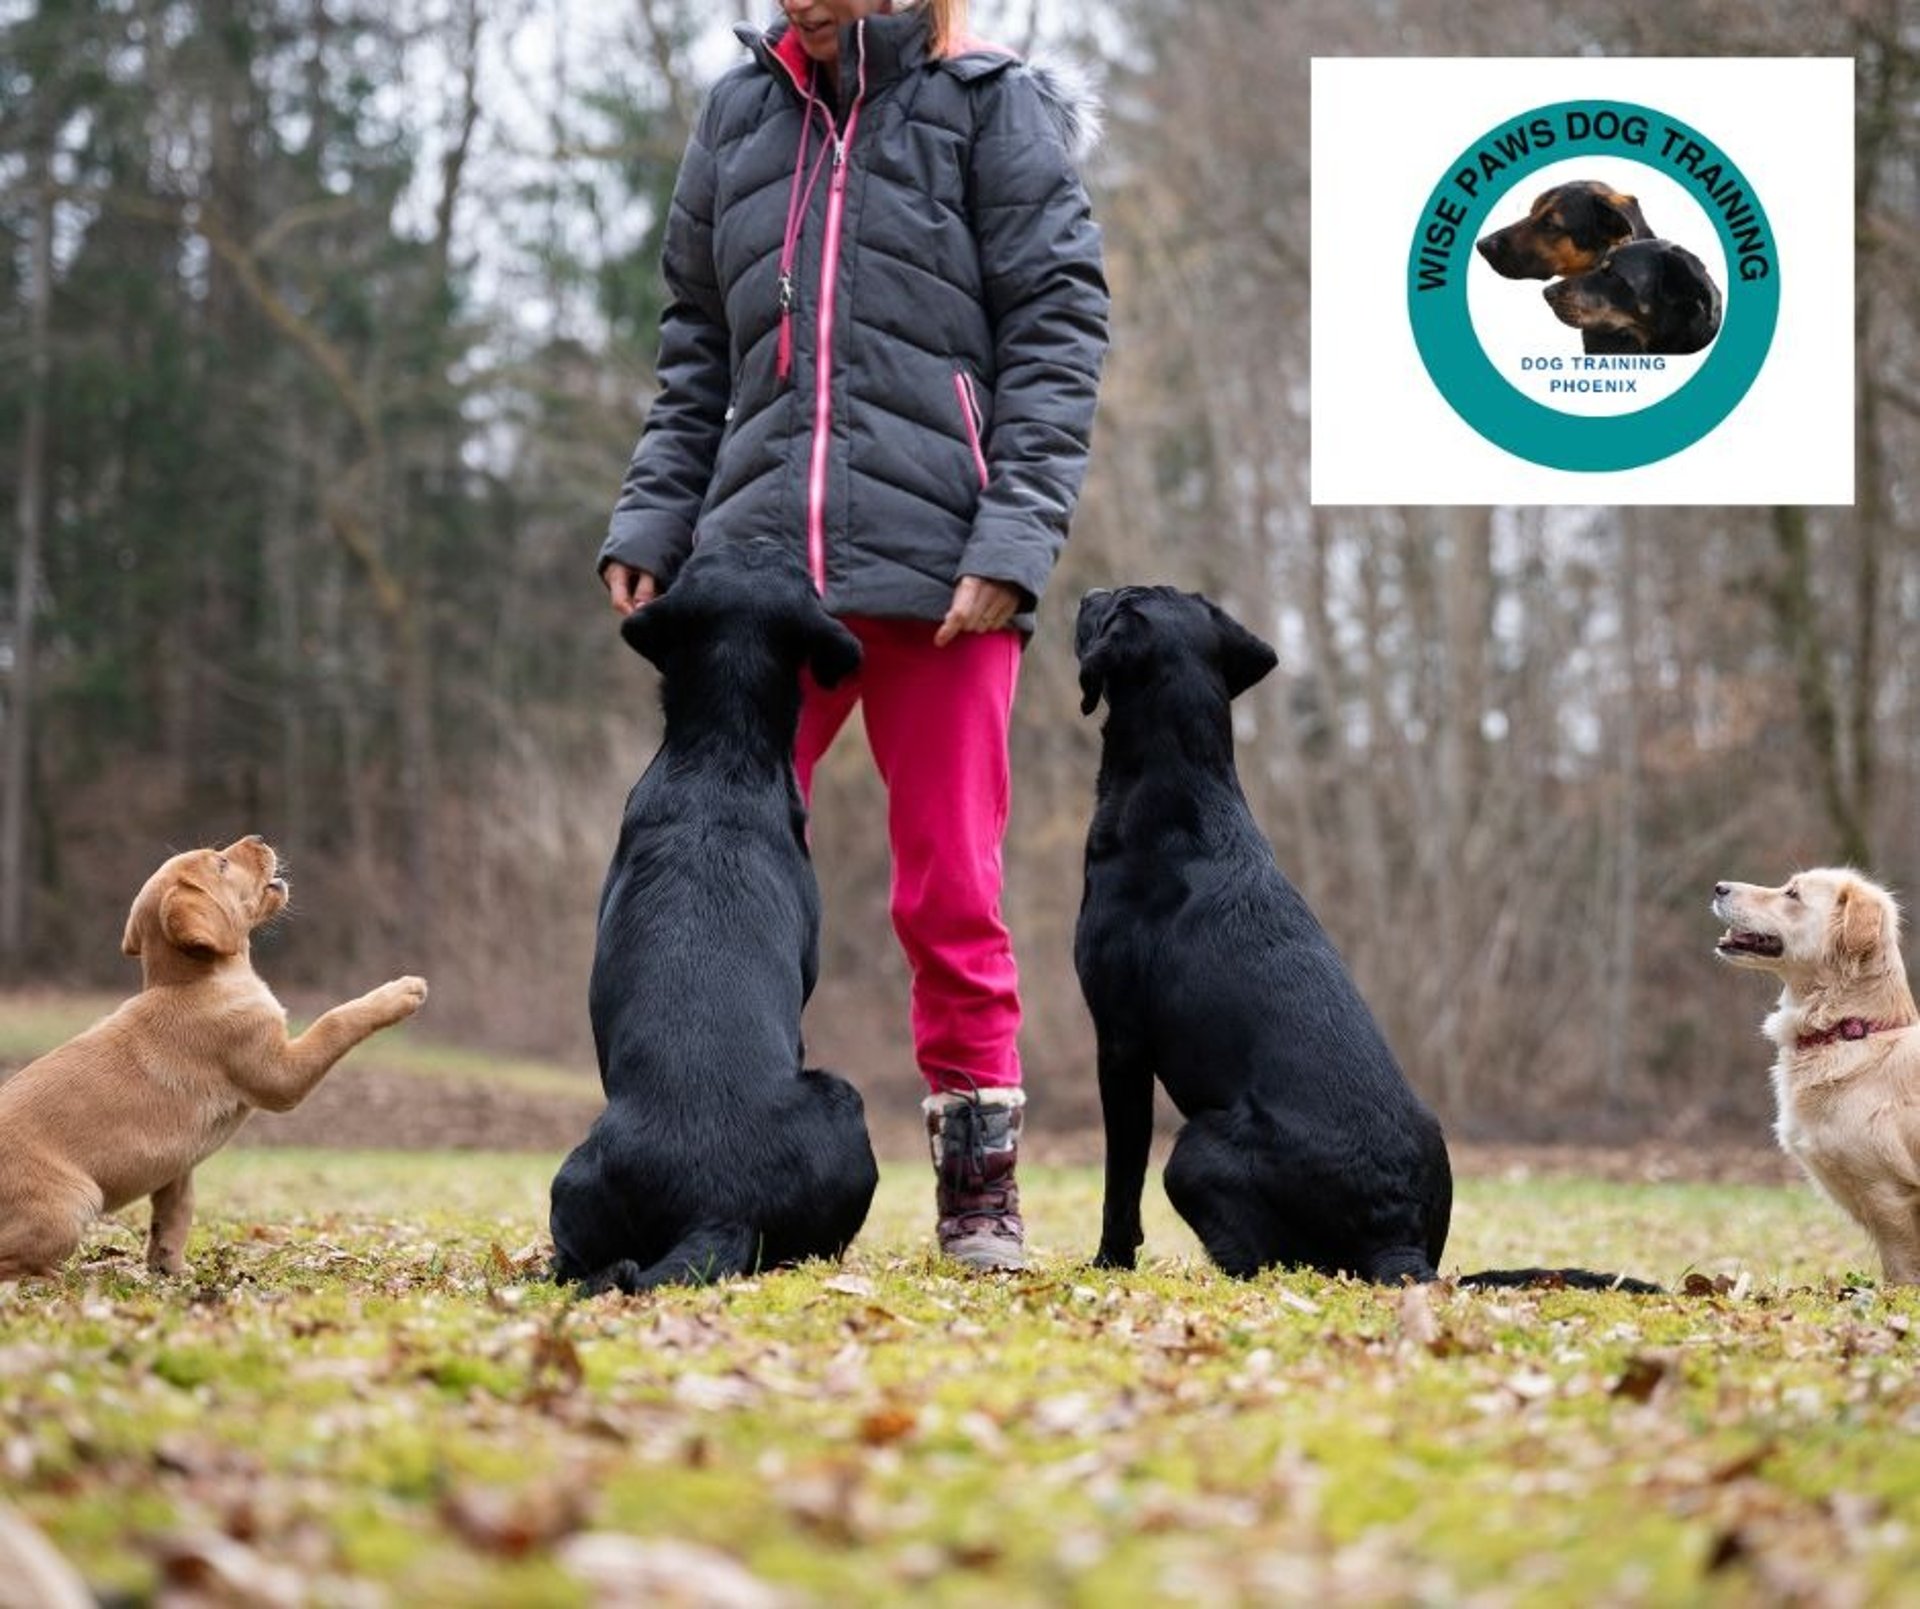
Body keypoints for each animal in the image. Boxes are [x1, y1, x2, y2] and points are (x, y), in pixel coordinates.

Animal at [0, 844, 424, 1282]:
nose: (259, 838)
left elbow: (176, 1212)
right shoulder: (280, 1075)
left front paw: (169, 1270)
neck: (192, 981)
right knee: (14, 1263)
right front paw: (400, 993)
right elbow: (336, 1021)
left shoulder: (176, 1164)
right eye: (221, 863)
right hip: (71, 1205)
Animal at [1075, 591, 1658, 1297]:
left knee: (1260, 1259)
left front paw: (1107, 1263)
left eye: (1118, 600)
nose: (1087, 595)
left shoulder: (1120, 1041)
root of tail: (1399, 1243)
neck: (1185, 792)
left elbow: (1119, 1183)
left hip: (1193, 1151)